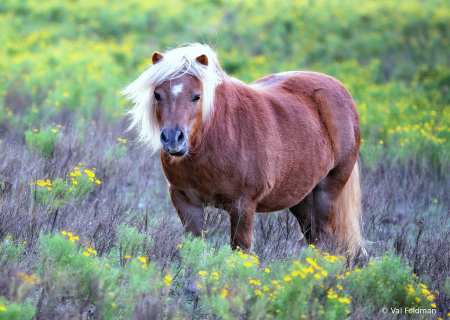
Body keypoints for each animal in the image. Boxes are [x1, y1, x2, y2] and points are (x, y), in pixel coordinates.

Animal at [123, 43, 366, 254]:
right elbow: (195, 247)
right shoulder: (185, 200)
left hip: (329, 188)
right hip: (302, 197)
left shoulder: (243, 206)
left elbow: (240, 250)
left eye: (196, 96)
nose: (173, 139)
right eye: (157, 95)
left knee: (325, 238)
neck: (212, 141)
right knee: (313, 237)